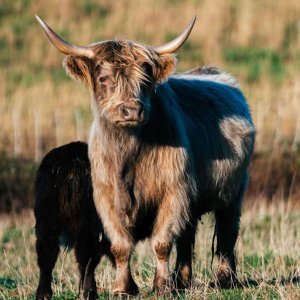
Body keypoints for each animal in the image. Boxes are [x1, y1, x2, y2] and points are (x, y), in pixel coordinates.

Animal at [34, 142, 113, 298]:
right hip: (86, 226)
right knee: (86, 260)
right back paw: (90, 292)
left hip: (46, 222)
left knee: (46, 257)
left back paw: (43, 294)